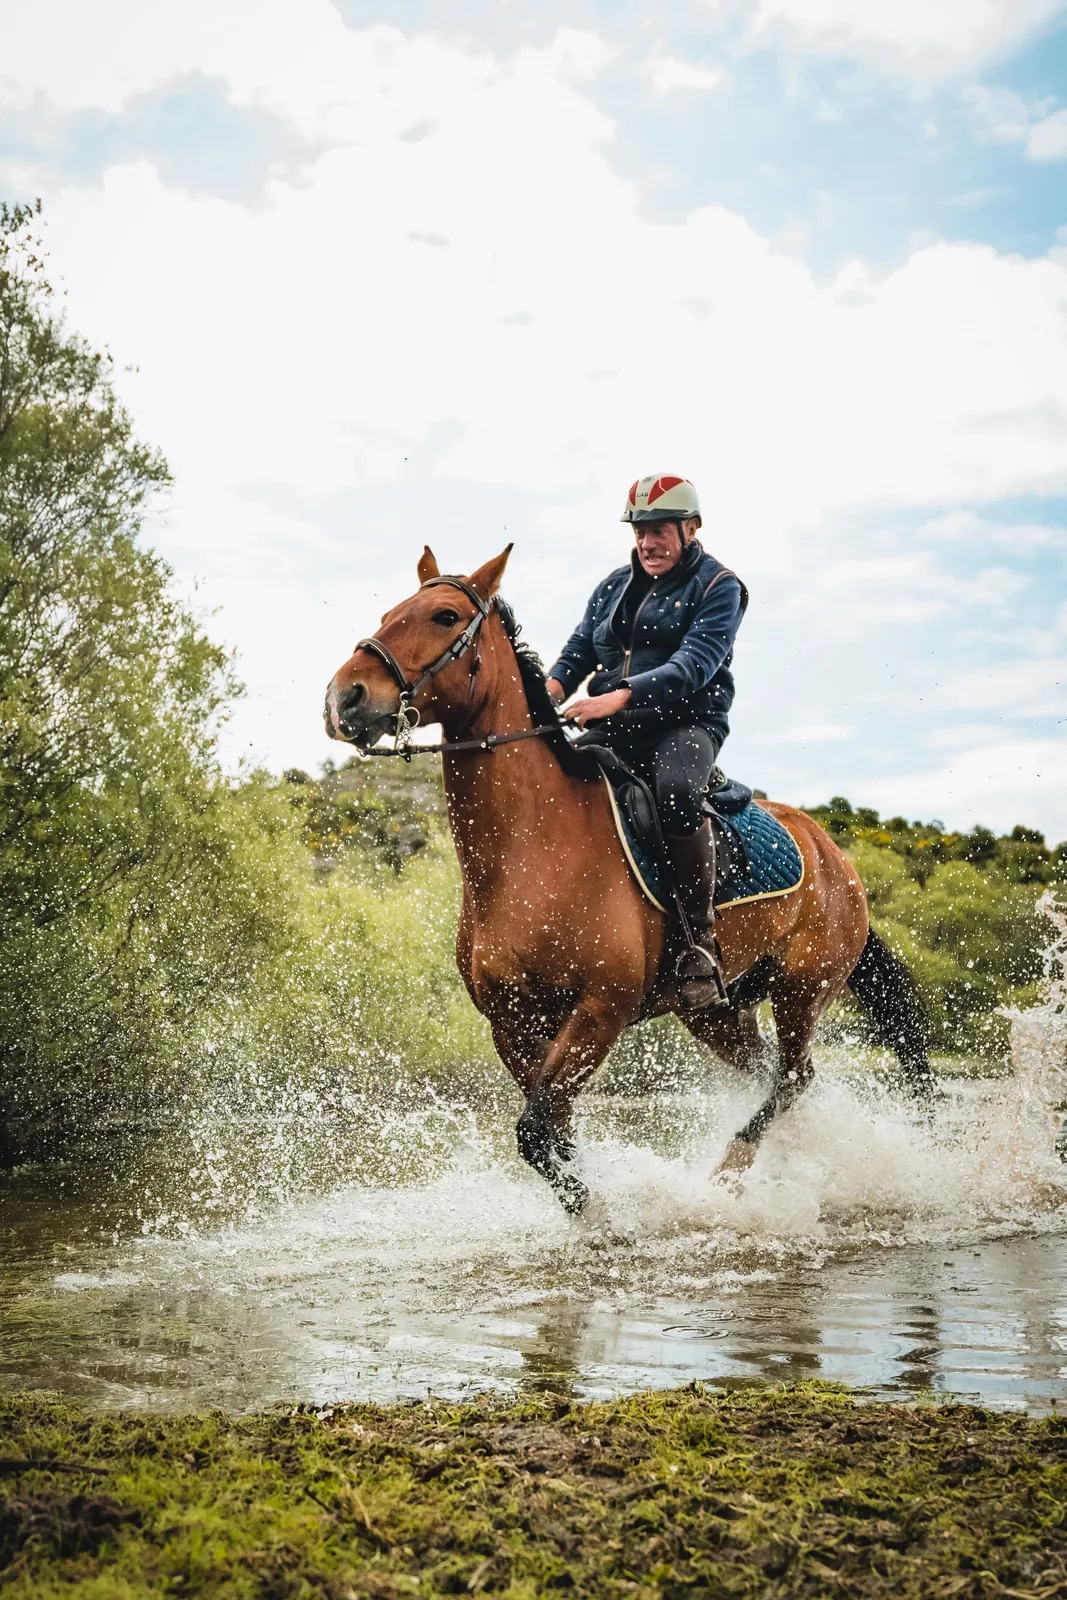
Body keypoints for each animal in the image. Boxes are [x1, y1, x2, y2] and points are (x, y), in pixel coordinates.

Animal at [325, 545, 932, 1213]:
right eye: (389, 613)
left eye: (443, 616)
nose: (344, 698)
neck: (533, 852)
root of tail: (834, 855)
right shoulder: (512, 1024)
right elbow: (553, 1130)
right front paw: (590, 1208)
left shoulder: (599, 1012)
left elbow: (536, 1131)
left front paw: (602, 1215)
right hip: (719, 1012)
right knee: (776, 1074)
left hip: (804, 986)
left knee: (794, 1076)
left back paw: (731, 1168)